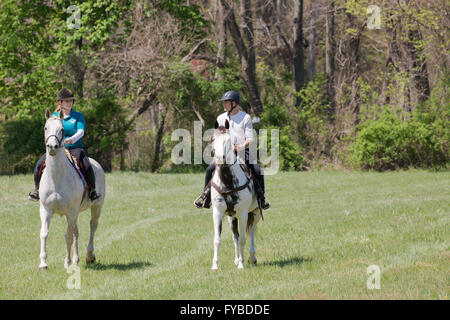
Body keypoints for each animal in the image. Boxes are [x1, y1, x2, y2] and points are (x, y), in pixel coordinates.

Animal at [38, 110, 105, 270]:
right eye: (45, 127)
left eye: (62, 129)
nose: (52, 146)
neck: (56, 177)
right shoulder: (45, 209)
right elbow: (44, 233)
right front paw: (43, 263)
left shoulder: (71, 211)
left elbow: (67, 236)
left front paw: (66, 263)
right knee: (76, 231)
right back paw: (76, 259)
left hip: (96, 206)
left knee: (93, 226)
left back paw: (89, 256)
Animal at [210, 119, 262, 268]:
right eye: (213, 139)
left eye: (229, 140)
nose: (220, 158)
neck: (227, 181)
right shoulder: (218, 212)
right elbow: (217, 239)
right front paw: (215, 265)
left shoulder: (243, 213)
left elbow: (243, 239)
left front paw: (241, 265)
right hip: (231, 217)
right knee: (235, 236)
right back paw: (237, 258)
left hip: (255, 212)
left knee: (251, 232)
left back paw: (251, 258)